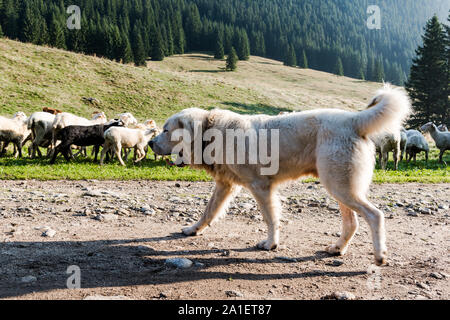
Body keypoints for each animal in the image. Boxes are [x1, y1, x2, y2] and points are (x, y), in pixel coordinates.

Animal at [150, 84, 412, 264]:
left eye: (165, 130)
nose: (151, 142)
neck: (211, 132)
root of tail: (354, 119)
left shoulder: (260, 187)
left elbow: (270, 218)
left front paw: (271, 243)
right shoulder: (226, 185)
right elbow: (208, 211)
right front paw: (193, 230)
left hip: (340, 186)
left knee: (375, 215)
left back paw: (379, 255)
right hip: (340, 186)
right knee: (352, 222)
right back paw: (337, 248)